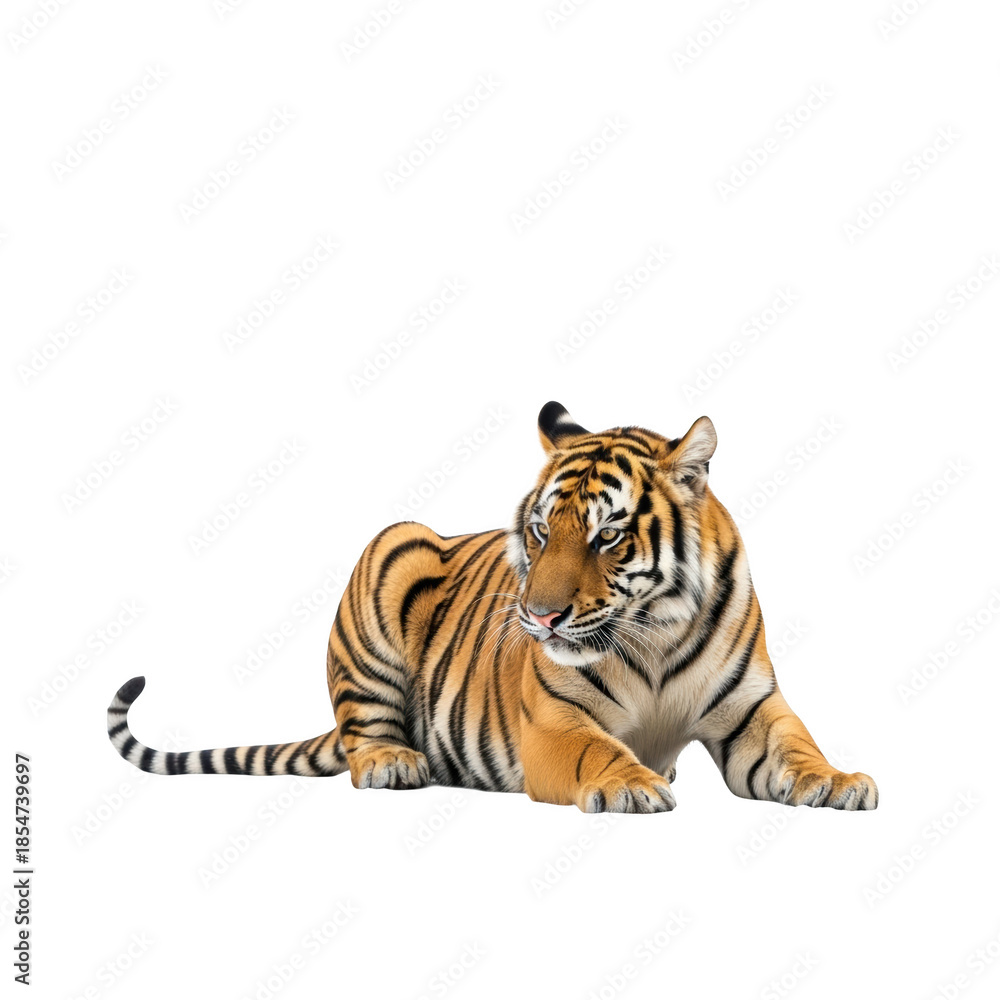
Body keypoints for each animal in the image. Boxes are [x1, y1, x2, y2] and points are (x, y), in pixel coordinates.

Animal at [108, 402, 878, 813]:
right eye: (540, 530)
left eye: (606, 535)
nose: (539, 618)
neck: (652, 633)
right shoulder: (557, 721)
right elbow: (599, 749)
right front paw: (632, 784)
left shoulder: (753, 709)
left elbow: (798, 747)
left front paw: (839, 781)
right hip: (394, 547)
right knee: (362, 735)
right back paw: (393, 762)